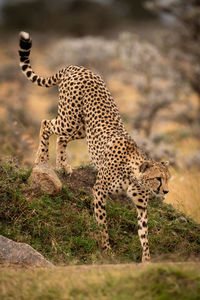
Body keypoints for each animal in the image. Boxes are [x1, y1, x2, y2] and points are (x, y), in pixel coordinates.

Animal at [18, 31, 170, 262]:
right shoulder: (99, 191)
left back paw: (63, 166)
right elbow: (102, 222)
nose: (167, 191)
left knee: (61, 138)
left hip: (82, 127)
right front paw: (106, 249)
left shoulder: (142, 206)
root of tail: (78, 67)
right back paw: (41, 159)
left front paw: (146, 260)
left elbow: (144, 235)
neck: (134, 174)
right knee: (46, 123)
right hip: (70, 118)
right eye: (158, 178)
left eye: (168, 178)